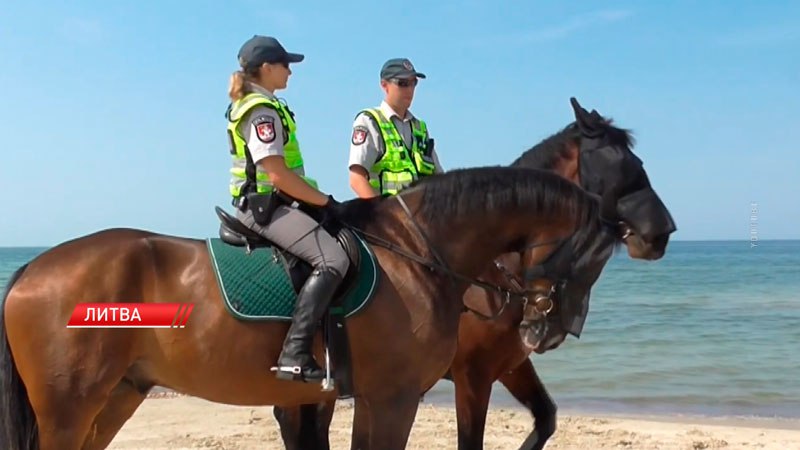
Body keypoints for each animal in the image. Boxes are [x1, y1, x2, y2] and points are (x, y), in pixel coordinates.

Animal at [0, 165, 608, 450]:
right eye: (597, 254)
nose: (548, 327)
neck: (416, 251)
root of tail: (33, 268)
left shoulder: (375, 399)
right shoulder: (397, 397)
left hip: (117, 397)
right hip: (70, 410)